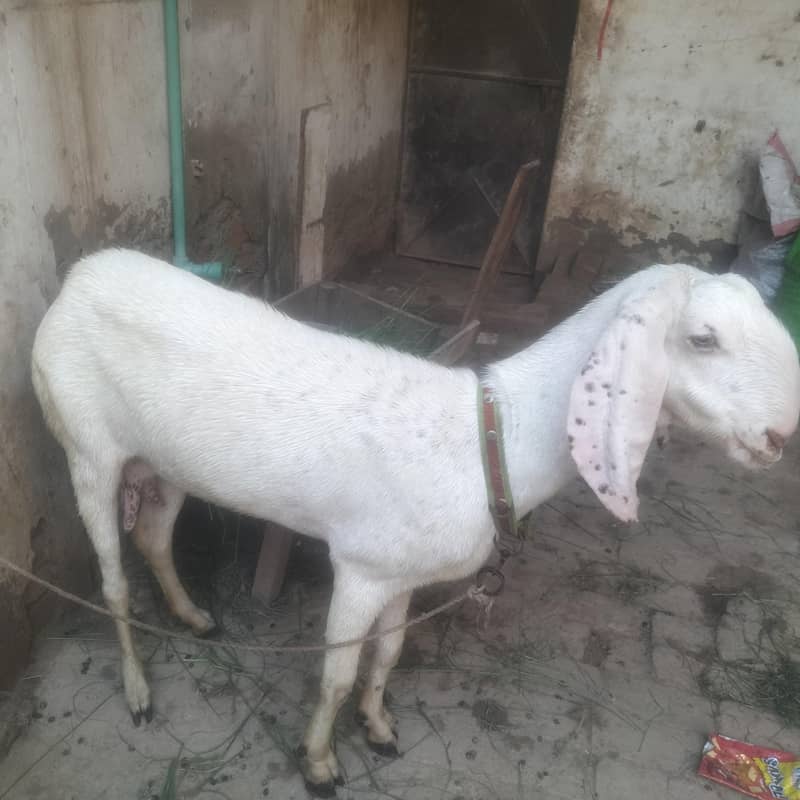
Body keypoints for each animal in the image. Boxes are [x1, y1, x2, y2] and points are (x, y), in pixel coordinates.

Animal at [31, 248, 800, 796]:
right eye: (703, 339)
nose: (779, 435)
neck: (490, 441)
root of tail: (76, 277)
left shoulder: (402, 573)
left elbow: (388, 656)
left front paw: (379, 729)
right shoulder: (361, 567)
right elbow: (337, 672)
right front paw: (319, 764)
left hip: (162, 463)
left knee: (153, 537)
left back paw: (193, 617)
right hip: (86, 444)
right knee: (112, 578)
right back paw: (138, 692)